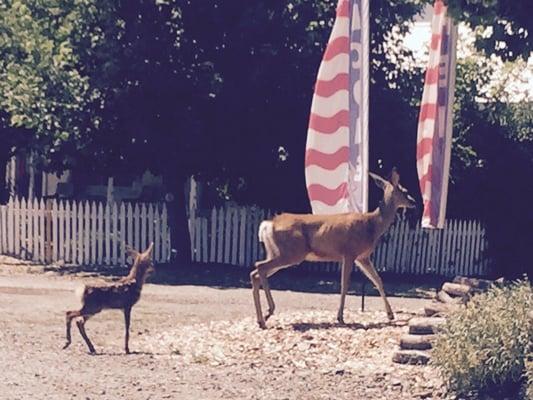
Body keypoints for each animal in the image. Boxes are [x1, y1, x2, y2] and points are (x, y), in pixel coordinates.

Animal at [249, 169, 416, 328]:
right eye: (405, 191)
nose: (413, 201)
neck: (373, 224)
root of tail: (268, 224)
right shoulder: (349, 253)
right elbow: (344, 285)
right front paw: (340, 317)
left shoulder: (363, 257)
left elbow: (378, 280)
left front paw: (390, 315)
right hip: (291, 253)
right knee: (259, 266)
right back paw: (269, 312)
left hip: (277, 252)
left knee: (255, 273)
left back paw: (261, 319)